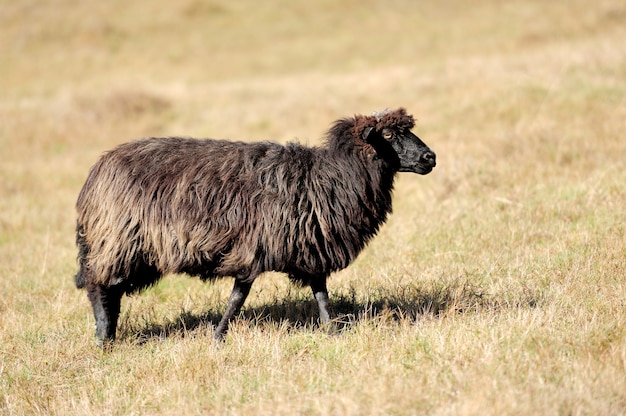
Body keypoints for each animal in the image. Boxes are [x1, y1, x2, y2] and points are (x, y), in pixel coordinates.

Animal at [74, 107, 434, 344]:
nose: (430, 157)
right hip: (119, 241)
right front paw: (218, 338)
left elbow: (320, 293)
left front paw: (332, 330)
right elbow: (238, 298)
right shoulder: (254, 248)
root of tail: (97, 170)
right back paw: (104, 338)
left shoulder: (309, 245)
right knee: (99, 286)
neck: (330, 177)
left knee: (111, 289)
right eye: (388, 134)